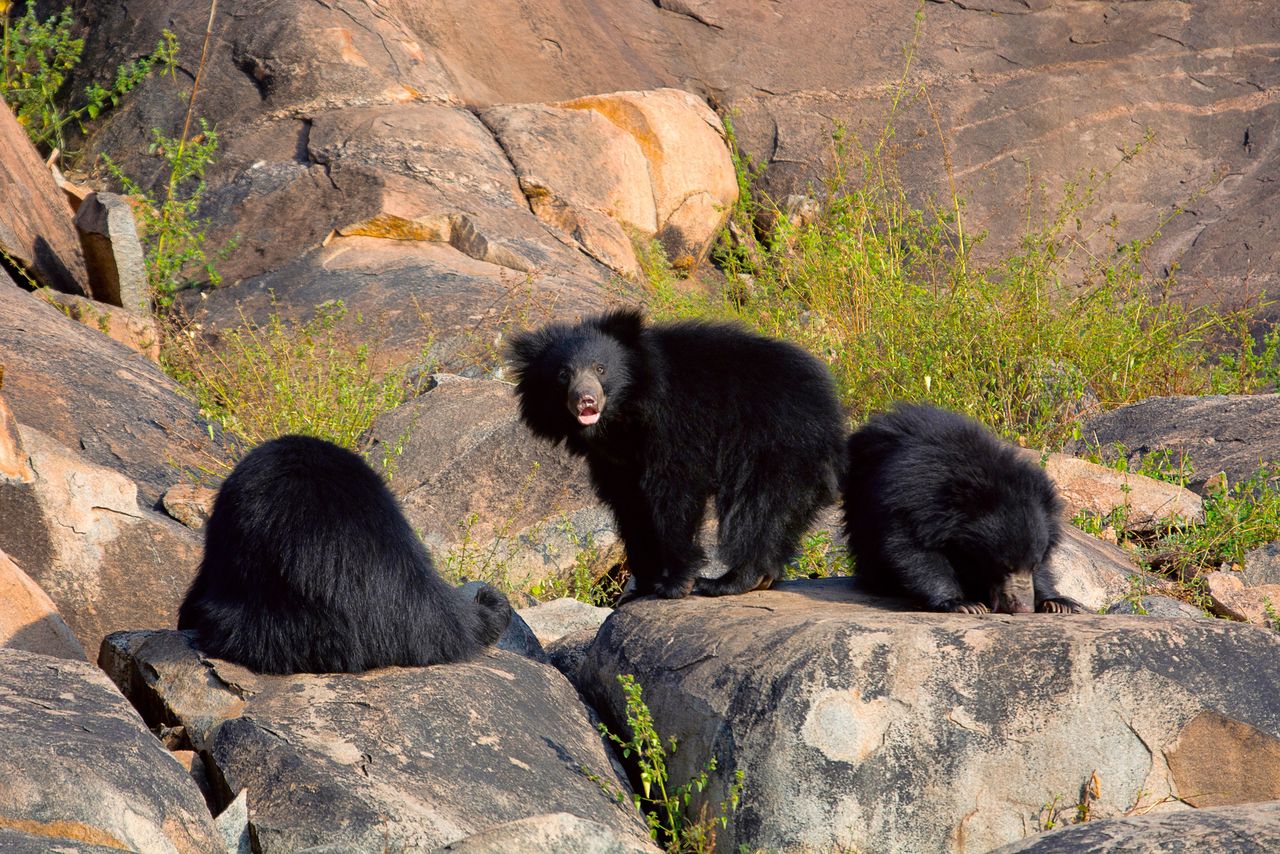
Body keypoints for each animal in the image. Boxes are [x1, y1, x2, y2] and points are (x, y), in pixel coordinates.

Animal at [506, 308, 849, 601]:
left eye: (601, 369)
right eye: (563, 374)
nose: (585, 400)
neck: (623, 414)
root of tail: (831, 409)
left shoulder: (675, 423)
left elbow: (674, 493)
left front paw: (674, 584)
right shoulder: (615, 458)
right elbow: (631, 505)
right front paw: (642, 586)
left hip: (772, 444)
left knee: (754, 509)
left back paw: (728, 581)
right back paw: (762, 577)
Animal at [844, 402, 1085, 614]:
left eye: (1033, 566)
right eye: (1004, 566)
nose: (1023, 608)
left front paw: (1057, 602)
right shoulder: (913, 500)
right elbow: (913, 549)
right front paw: (963, 604)